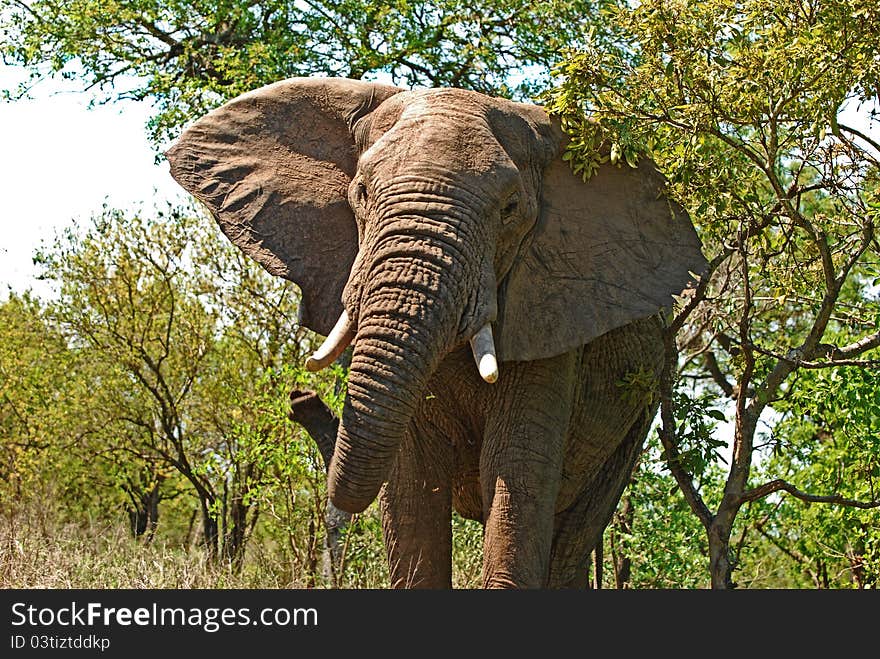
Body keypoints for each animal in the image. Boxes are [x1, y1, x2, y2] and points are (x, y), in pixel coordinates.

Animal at [167, 76, 708, 588]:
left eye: (510, 208)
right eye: (360, 193)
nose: (301, 399)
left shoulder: (552, 320)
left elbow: (515, 474)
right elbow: (411, 484)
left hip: (638, 411)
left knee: (572, 537)